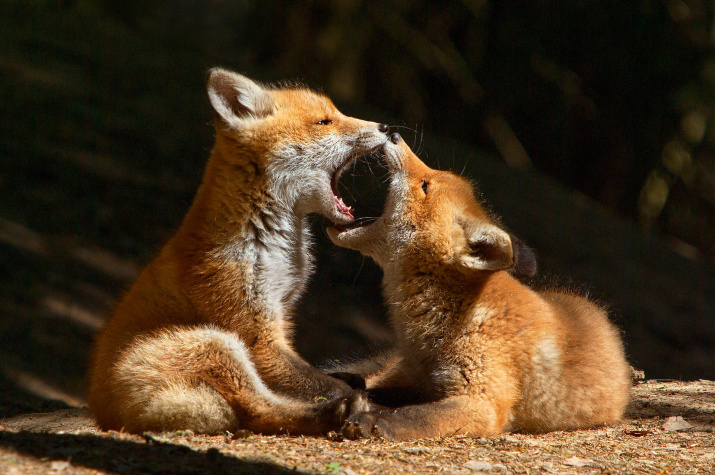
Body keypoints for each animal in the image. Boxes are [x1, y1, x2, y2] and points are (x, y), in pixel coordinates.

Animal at [90, 69, 394, 436]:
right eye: (324, 121)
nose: (386, 127)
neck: (267, 238)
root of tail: (106, 414)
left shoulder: (282, 309)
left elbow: (314, 373)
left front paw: (350, 379)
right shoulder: (255, 331)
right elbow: (319, 382)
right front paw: (357, 396)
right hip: (214, 345)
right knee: (260, 410)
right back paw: (335, 413)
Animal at [328, 133, 628, 438]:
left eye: (425, 185)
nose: (394, 135)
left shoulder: (483, 402)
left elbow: (416, 415)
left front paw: (376, 420)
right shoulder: (414, 377)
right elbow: (373, 390)